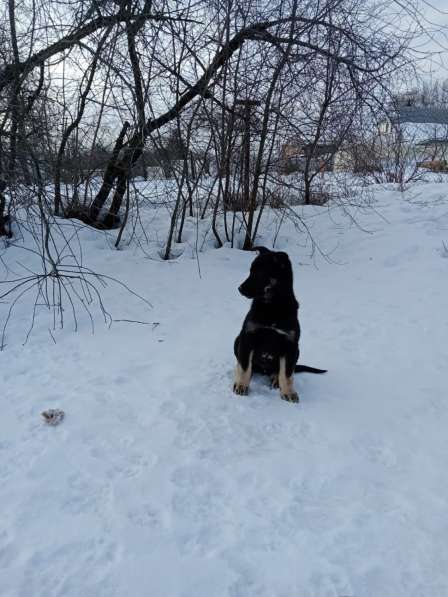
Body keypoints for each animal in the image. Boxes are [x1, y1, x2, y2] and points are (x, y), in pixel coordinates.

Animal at [234, 244, 326, 402]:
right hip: (237, 341)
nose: (239, 289)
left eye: (260, 273)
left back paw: (276, 379)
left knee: (278, 371)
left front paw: (288, 392)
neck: (272, 307)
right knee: (244, 364)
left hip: (297, 351)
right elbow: (245, 367)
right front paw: (241, 385)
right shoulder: (248, 337)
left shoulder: (290, 344)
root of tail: (264, 370)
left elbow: (287, 374)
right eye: (250, 271)